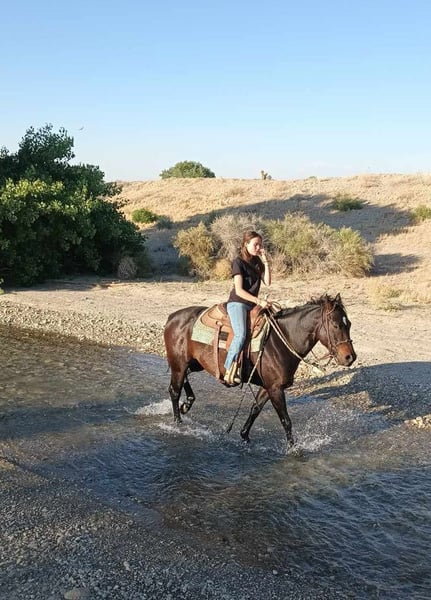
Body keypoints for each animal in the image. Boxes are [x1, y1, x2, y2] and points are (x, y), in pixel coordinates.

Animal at [163, 294, 356, 451]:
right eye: (336, 325)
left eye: (349, 324)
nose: (350, 357)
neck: (279, 341)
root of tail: (172, 317)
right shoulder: (275, 389)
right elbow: (286, 420)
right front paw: (293, 448)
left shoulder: (268, 386)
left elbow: (255, 409)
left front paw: (244, 436)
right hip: (179, 364)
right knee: (174, 390)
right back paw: (178, 422)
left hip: (194, 363)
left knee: (185, 380)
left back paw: (187, 404)